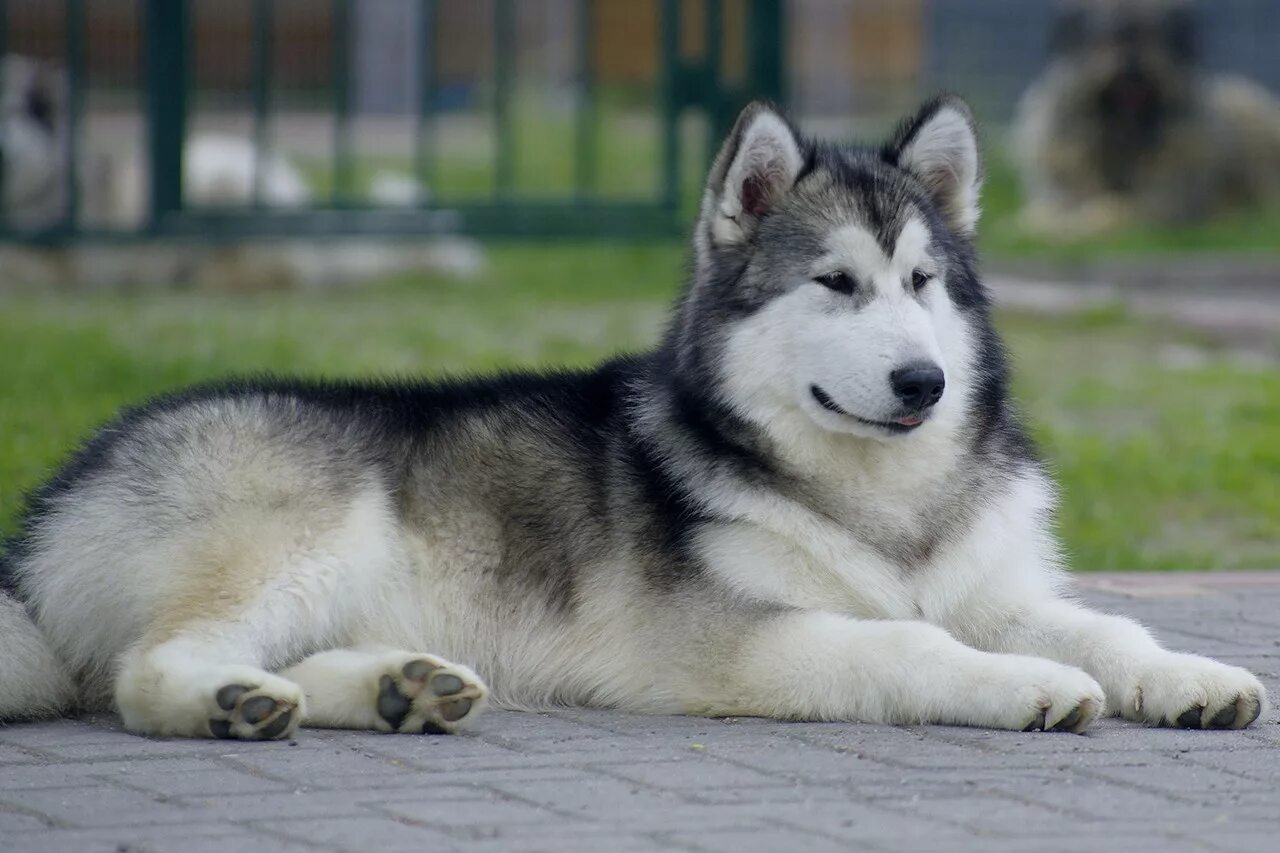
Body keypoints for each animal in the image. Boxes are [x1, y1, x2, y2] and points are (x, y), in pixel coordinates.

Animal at [0, 94, 1264, 737]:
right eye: (833, 284)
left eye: (922, 284)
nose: (922, 384)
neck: (875, 501)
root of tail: (59, 490)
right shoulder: (728, 639)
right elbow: (910, 641)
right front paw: (1028, 686)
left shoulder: (993, 591)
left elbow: (1106, 627)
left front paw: (1188, 673)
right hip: (308, 529)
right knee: (146, 670)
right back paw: (231, 701)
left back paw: (397, 689)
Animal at [1008, 0, 1280, 233]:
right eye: (1111, 36)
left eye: (1152, 36)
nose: (1133, 69)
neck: (1121, 139)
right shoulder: (1059, 185)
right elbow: (1042, 213)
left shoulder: (1163, 197)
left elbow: (1112, 208)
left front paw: (1080, 225)